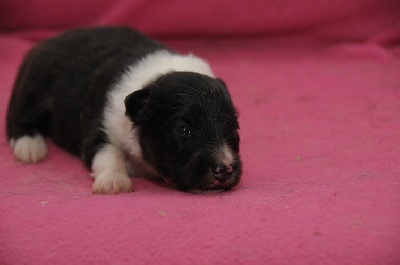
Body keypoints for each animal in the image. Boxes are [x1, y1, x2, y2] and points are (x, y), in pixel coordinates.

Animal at [6, 26, 242, 193]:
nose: (225, 169)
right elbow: (109, 152)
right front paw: (113, 180)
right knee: (19, 114)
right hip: (35, 86)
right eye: (184, 129)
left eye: (234, 130)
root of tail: (47, 41)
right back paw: (29, 146)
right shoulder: (97, 129)